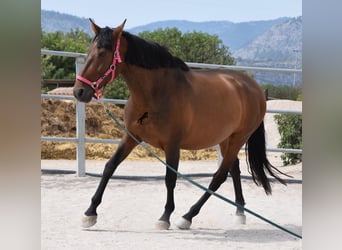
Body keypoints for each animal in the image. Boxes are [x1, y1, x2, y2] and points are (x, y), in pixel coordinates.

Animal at [73, 20, 286, 230]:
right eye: (89, 50)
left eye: (103, 53)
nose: (79, 91)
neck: (156, 94)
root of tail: (254, 87)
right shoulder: (131, 136)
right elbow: (110, 167)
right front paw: (90, 213)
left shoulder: (172, 145)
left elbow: (170, 178)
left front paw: (165, 216)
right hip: (225, 139)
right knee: (234, 169)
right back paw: (239, 212)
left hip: (238, 138)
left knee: (219, 176)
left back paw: (188, 216)